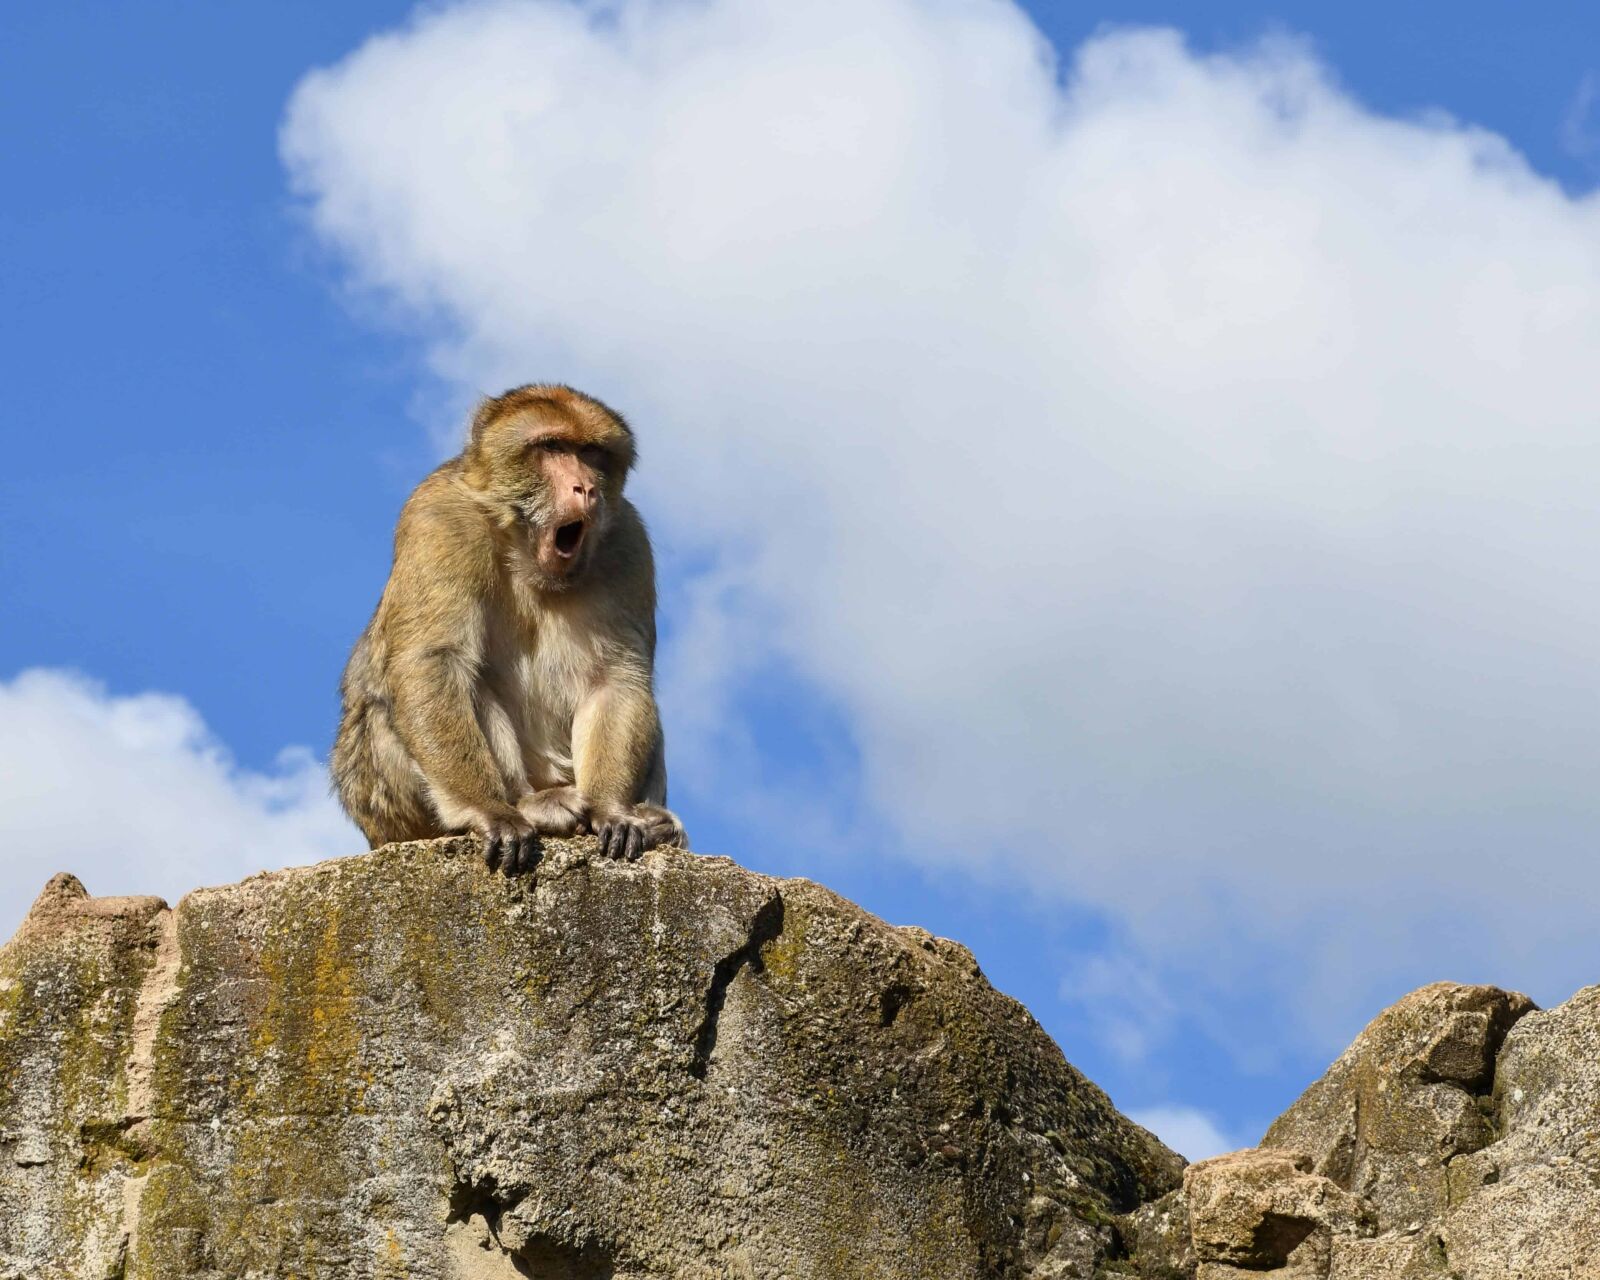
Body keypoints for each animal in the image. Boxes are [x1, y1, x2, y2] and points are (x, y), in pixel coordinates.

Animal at [332, 384, 686, 873]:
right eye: (552, 447)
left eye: (591, 453)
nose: (586, 488)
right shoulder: (438, 518)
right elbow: (433, 661)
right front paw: (488, 810)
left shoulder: (629, 543)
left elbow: (615, 679)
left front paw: (611, 809)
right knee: (466, 682)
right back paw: (528, 804)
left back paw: (656, 822)